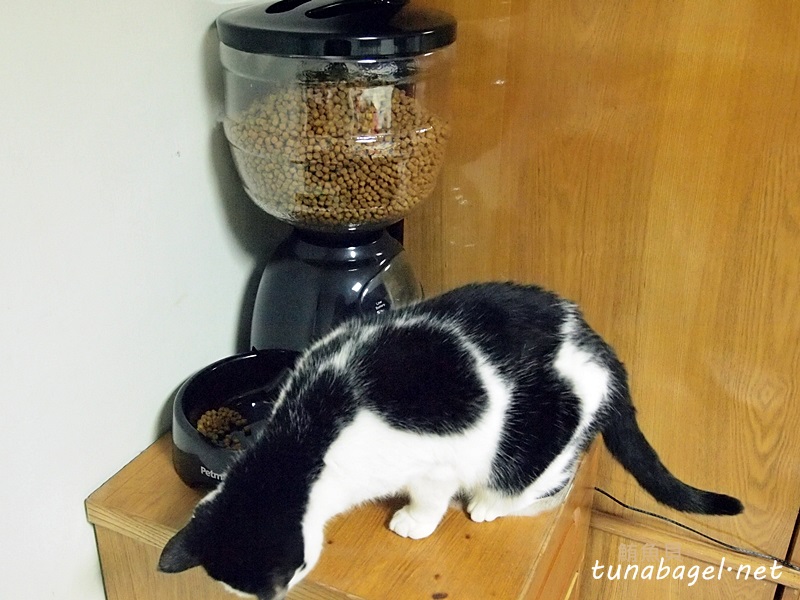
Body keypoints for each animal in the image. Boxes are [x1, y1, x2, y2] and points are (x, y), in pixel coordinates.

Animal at [158, 281, 743, 600]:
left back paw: (490, 504)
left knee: (546, 480)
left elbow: (430, 496)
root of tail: (599, 346)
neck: (305, 433)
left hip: (537, 438)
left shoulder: (431, 463)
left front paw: (413, 521)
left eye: (296, 571)